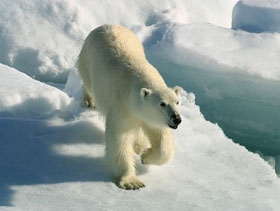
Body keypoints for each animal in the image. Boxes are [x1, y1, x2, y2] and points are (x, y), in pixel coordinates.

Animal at [77, 24, 182, 190]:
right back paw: (89, 100)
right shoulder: (121, 107)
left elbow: (161, 138)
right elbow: (119, 138)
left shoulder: (151, 116)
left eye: (177, 102)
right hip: (87, 61)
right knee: (88, 83)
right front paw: (131, 182)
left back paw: (139, 145)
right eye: (162, 103)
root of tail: (105, 25)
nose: (176, 119)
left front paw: (145, 156)